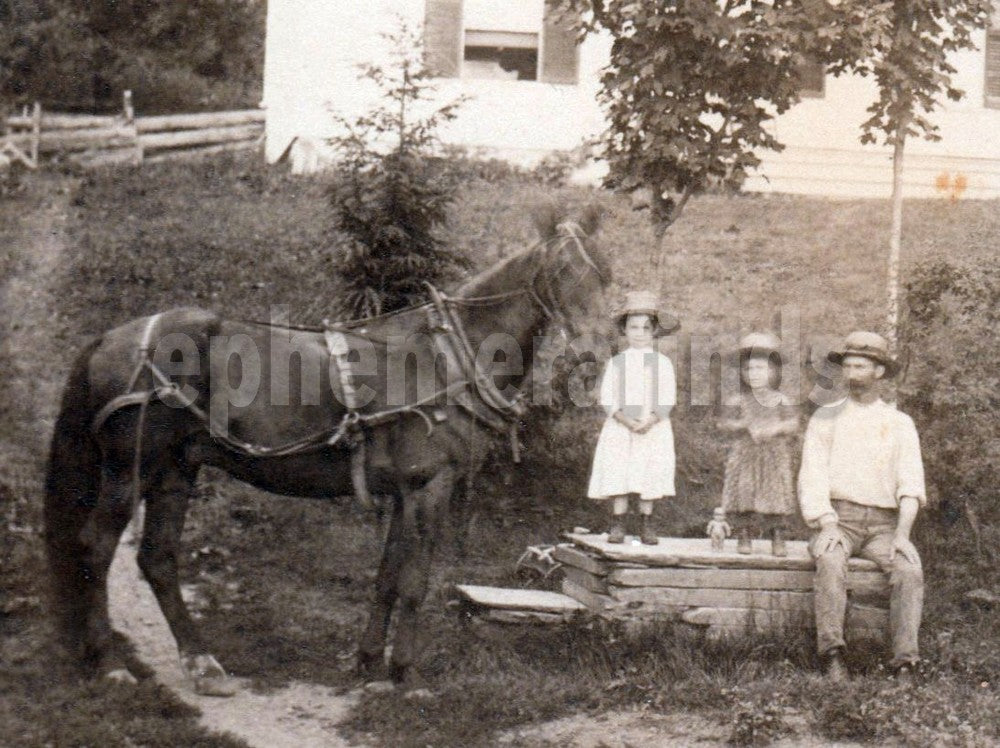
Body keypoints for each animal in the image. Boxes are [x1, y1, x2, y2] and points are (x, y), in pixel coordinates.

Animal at [45, 203, 608, 688]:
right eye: (562, 272)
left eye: (603, 274)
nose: (600, 347)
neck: (447, 356)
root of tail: (111, 338)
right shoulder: (430, 486)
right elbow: (415, 582)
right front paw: (407, 672)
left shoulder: (403, 492)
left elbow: (387, 577)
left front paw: (368, 660)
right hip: (131, 468)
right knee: (96, 546)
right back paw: (111, 663)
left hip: (174, 470)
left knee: (158, 559)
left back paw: (200, 660)